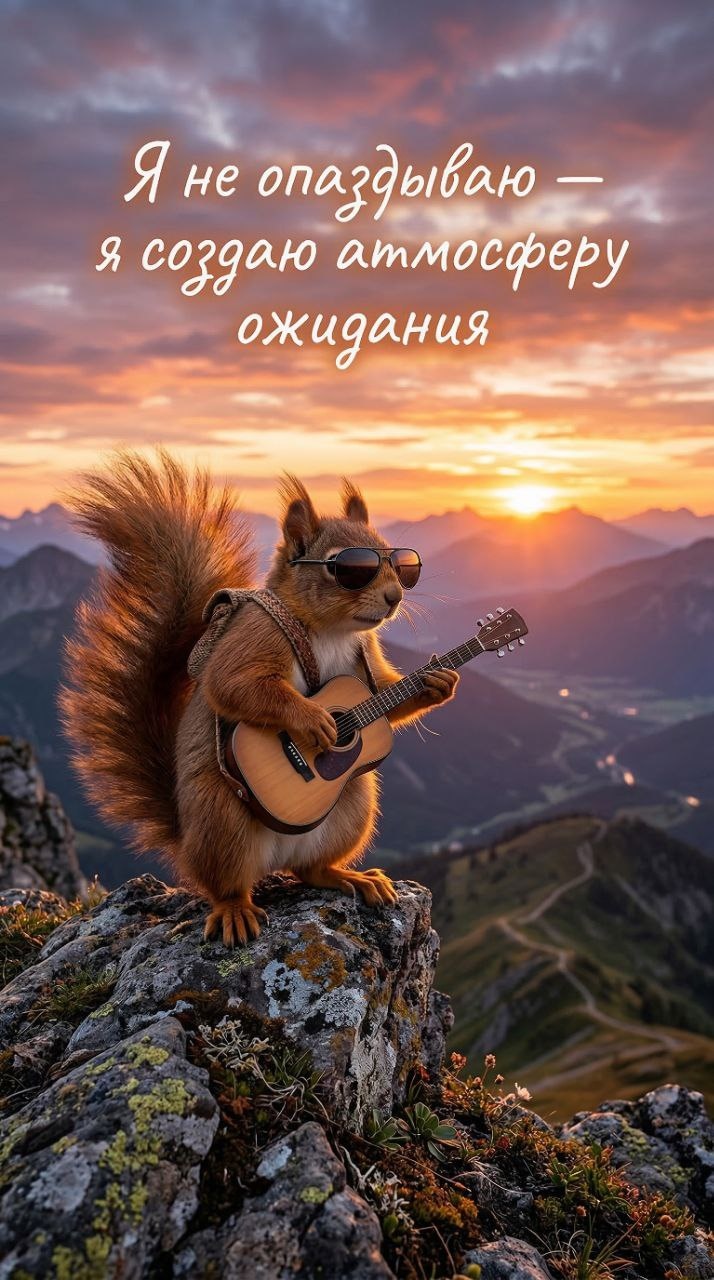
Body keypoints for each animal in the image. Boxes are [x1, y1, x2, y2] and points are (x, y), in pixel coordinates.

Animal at [60, 449, 459, 946]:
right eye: (347, 568)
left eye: (402, 564)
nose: (395, 596)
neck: (331, 631)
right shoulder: (256, 634)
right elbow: (234, 684)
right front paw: (312, 720)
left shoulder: (367, 657)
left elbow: (385, 691)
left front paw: (436, 683)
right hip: (221, 818)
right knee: (225, 884)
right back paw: (235, 911)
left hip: (354, 805)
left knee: (310, 870)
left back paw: (348, 877)